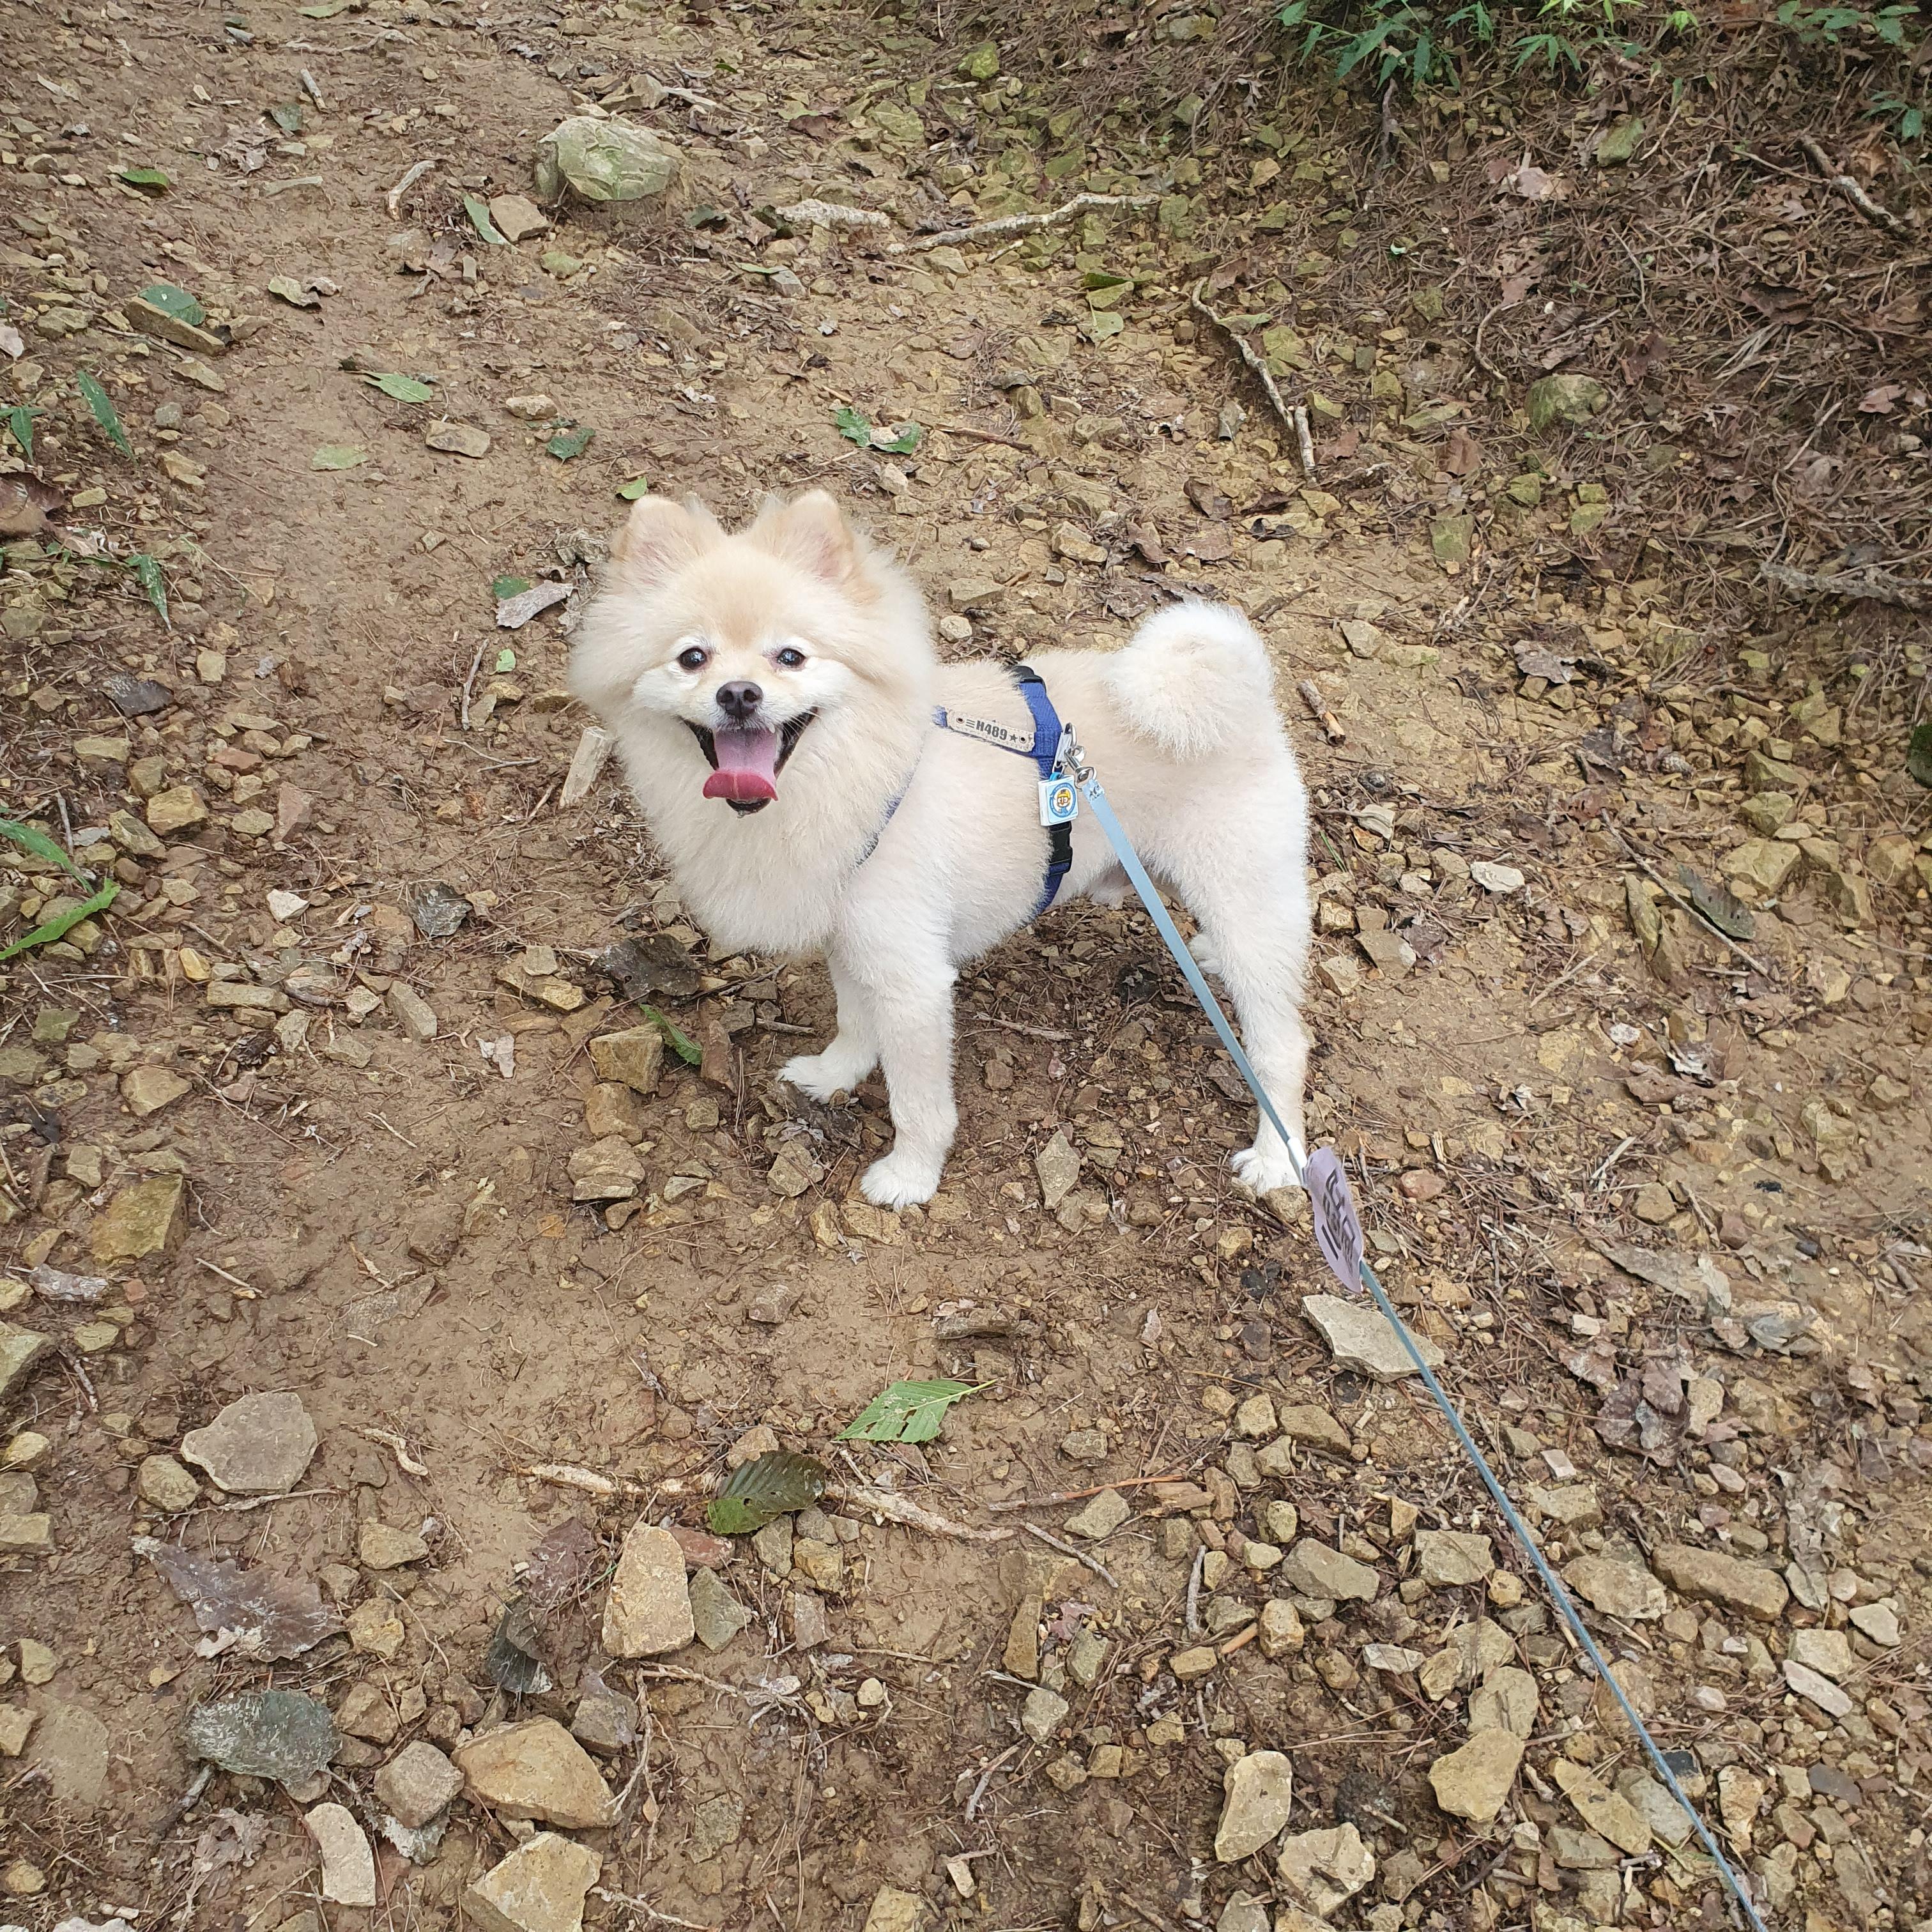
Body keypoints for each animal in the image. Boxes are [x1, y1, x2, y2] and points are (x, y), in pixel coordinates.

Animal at [570, 489, 1313, 1210]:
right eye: (693, 658)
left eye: (791, 657)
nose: (739, 694)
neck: (851, 776)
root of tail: (1243, 692)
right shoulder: (855, 941)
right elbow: (852, 1022)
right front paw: (833, 1075)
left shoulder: (913, 983)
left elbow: (918, 1103)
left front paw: (910, 1178)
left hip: (1240, 894)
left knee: (1282, 1044)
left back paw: (1278, 1160)